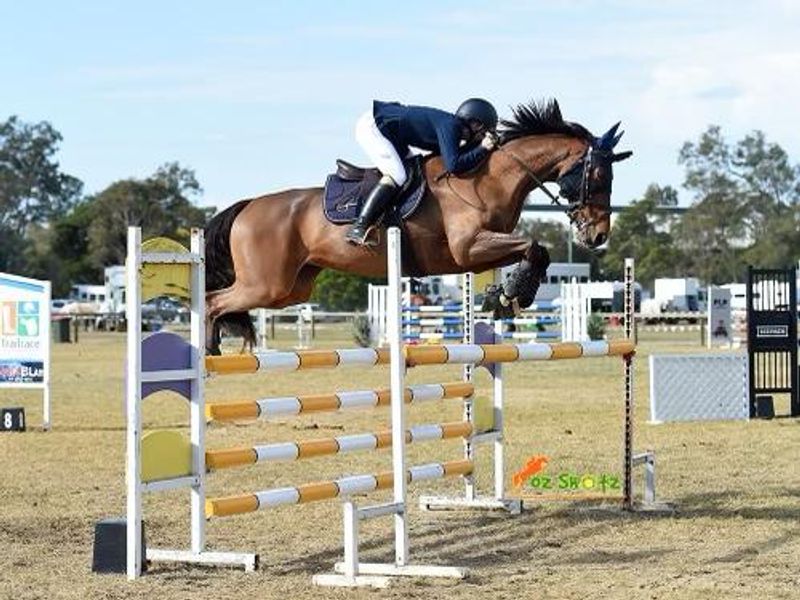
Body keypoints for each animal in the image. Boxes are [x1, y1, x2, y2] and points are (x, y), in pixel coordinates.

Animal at [204, 99, 631, 353]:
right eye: (598, 176)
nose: (597, 235)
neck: (490, 177)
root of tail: (247, 207)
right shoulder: (468, 248)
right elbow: (534, 246)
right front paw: (514, 292)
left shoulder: (477, 253)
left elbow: (534, 250)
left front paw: (503, 295)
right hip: (266, 283)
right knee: (212, 302)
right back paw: (209, 352)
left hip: (291, 288)